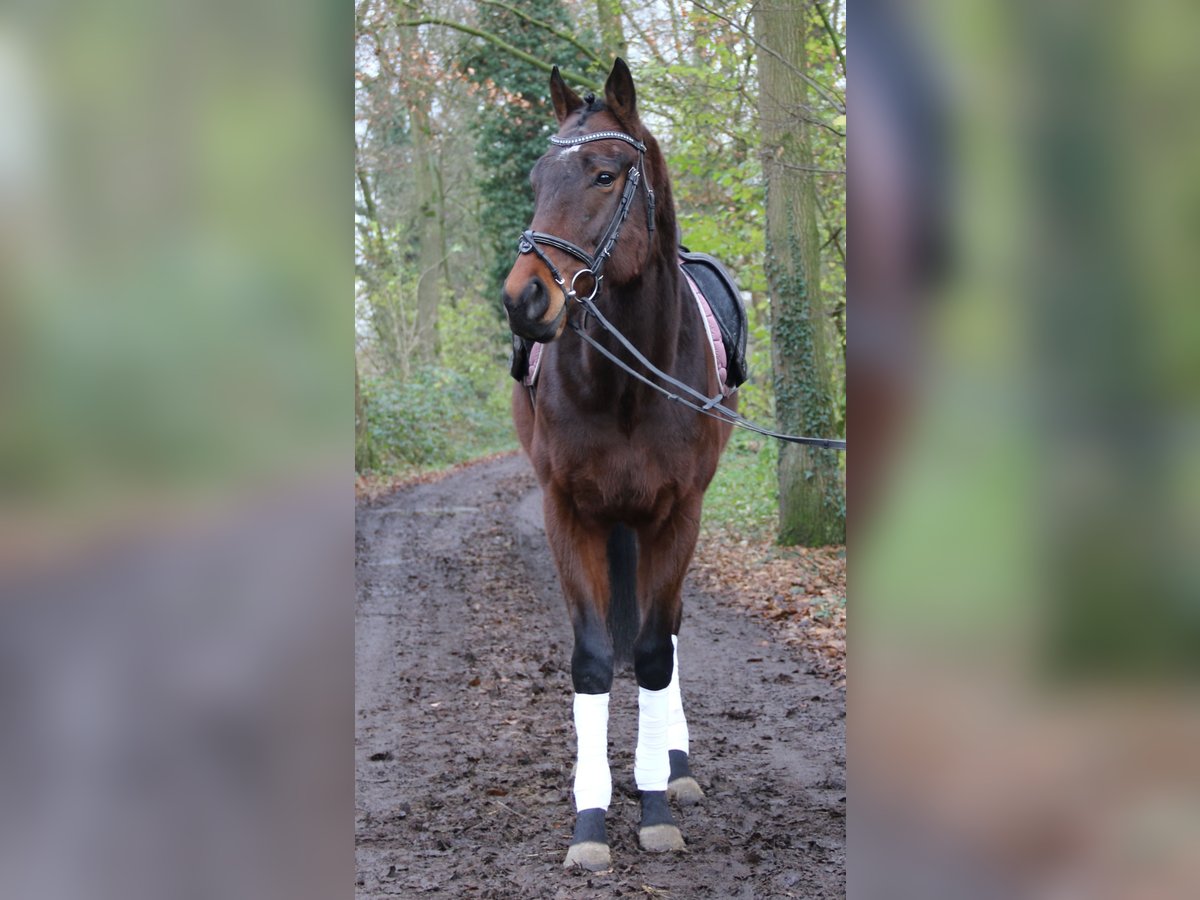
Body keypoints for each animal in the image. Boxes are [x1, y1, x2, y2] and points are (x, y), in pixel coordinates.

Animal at [501, 58, 734, 873]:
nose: (523, 299)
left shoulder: (680, 512)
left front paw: (657, 800)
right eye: (536, 178)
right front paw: (592, 816)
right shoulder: (568, 511)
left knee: (669, 631)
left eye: (604, 175)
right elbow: (597, 659)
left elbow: (656, 652)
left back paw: (676, 763)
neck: (632, 383)